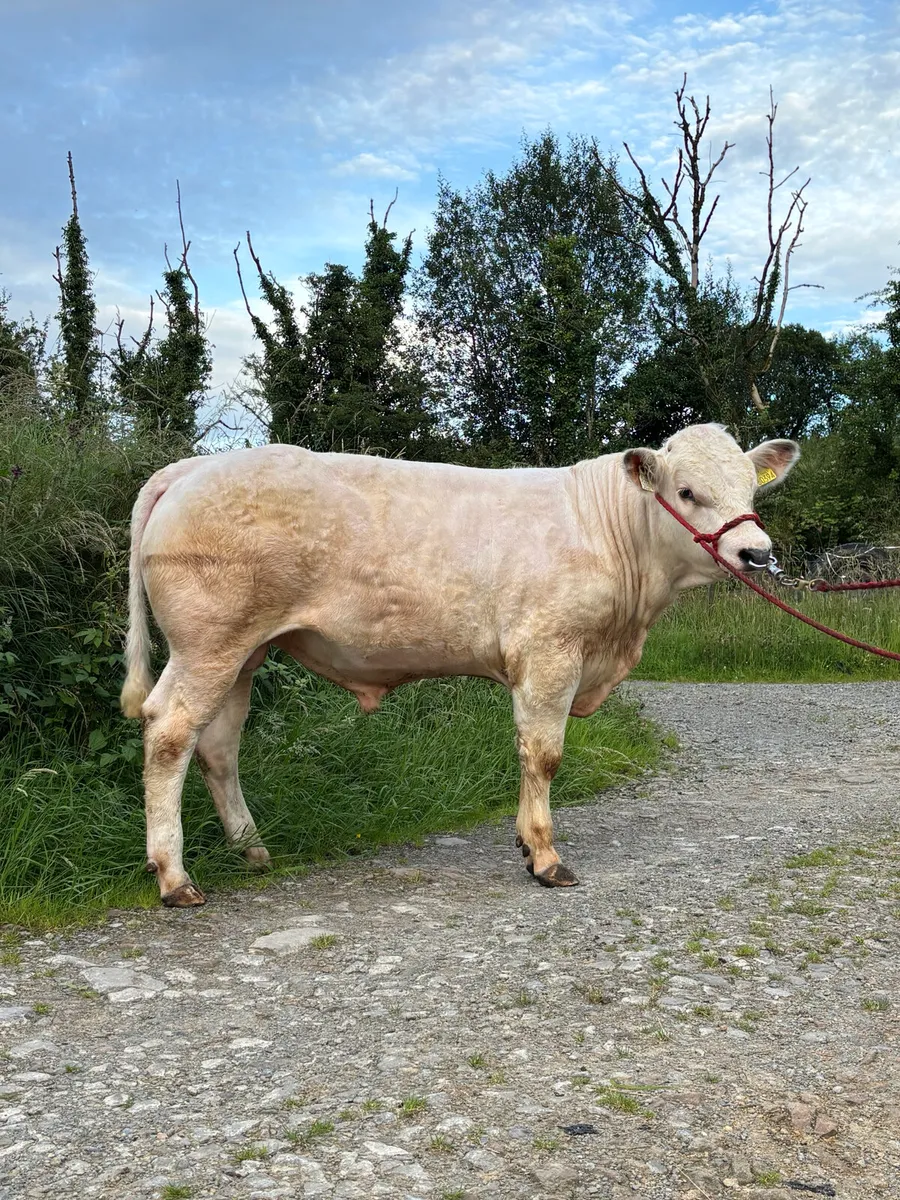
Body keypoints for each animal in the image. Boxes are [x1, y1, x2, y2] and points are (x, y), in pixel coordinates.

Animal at [121, 422, 799, 907]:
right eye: (687, 492)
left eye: (751, 488)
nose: (755, 552)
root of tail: (194, 466)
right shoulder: (549, 651)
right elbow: (543, 753)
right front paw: (544, 856)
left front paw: (526, 843)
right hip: (209, 644)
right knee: (169, 731)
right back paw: (174, 877)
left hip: (242, 653)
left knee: (218, 746)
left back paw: (252, 851)